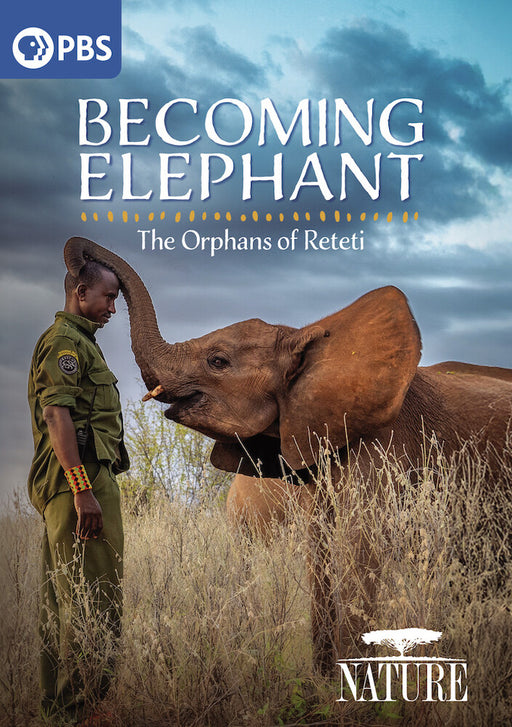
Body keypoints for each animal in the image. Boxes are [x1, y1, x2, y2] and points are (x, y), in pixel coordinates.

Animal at [64, 237, 512, 672]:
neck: (310, 338)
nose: (80, 258)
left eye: (218, 361)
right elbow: (321, 556)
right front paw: (325, 678)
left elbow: (359, 554)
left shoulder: (385, 449)